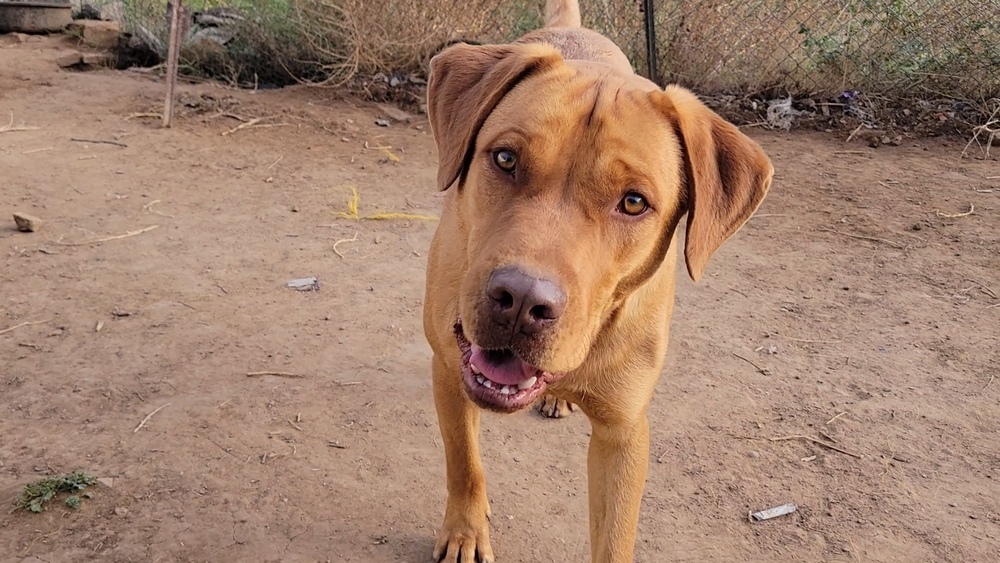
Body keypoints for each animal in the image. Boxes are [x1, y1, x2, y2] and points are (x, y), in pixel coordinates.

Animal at [422, 2, 772, 560]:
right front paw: (465, 531)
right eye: (505, 158)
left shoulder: (623, 434)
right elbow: (465, 464)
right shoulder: (449, 371)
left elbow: (613, 538)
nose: (521, 302)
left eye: (633, 202)